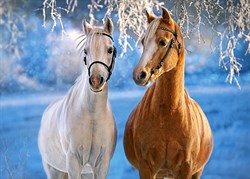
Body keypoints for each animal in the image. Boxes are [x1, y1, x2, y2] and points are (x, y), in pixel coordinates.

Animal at [38, 18, 118, 179]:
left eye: (110, 50)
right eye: (86, 51)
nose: (96, 80)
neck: (92, 116)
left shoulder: (101, 165)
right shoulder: (73, 162)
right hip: (54, 170)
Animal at [123, 7, 213, 179]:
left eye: (163, 42)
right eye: (143, 42)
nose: (139, 75)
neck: (168, 114)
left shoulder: (186, 169)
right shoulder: (146, 169)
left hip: (196, 172)